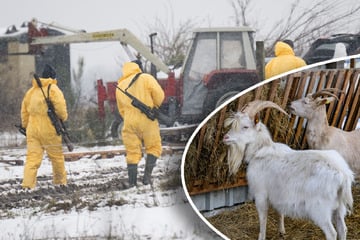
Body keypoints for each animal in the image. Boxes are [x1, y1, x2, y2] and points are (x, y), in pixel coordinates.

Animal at [224, 100, 352, 240]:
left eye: (245, 127)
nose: (225, 138)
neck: (260, 150)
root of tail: (343, 175)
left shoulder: (261, 194)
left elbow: (263, 219)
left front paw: (262, 236)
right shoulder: (279, 194)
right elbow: (280, 212)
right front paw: (282, 231)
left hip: (320, 209)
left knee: (332, 233)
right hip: (339, 207)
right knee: (343, 228)